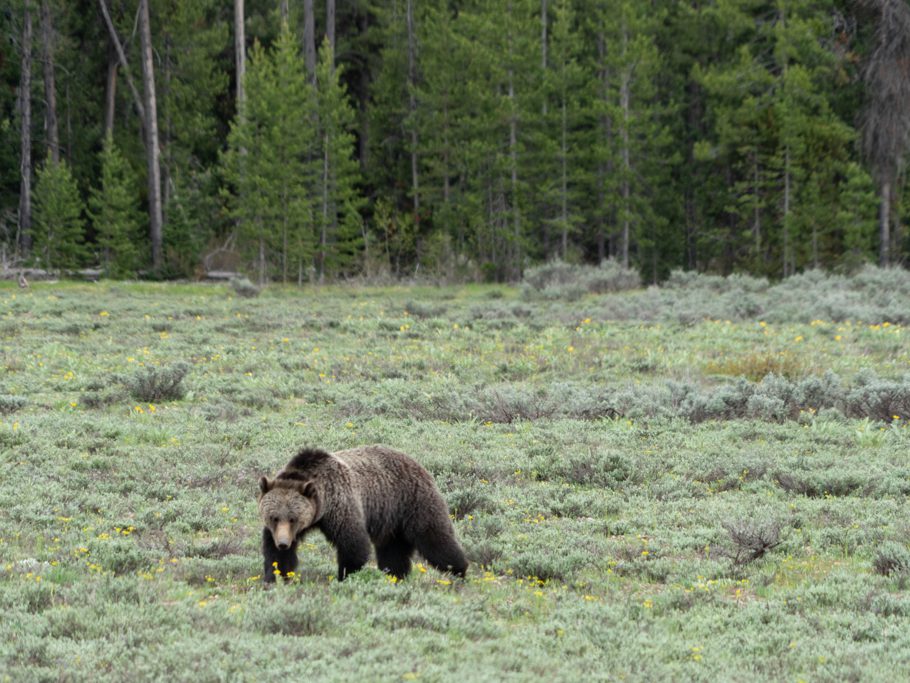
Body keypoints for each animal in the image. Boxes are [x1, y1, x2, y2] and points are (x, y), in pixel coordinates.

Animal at [258, 448, 466, 584]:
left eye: (293, 518)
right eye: (274, 517)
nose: (283, 543)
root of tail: (418, 463)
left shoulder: (341, 505)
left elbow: (353, 544)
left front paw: (345, 577)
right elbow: (275, 555)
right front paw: (276, 577)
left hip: (414, 503)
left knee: (435, 539)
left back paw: (459, 571)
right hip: (391, 522)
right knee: (393, 553)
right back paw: (395, 577)